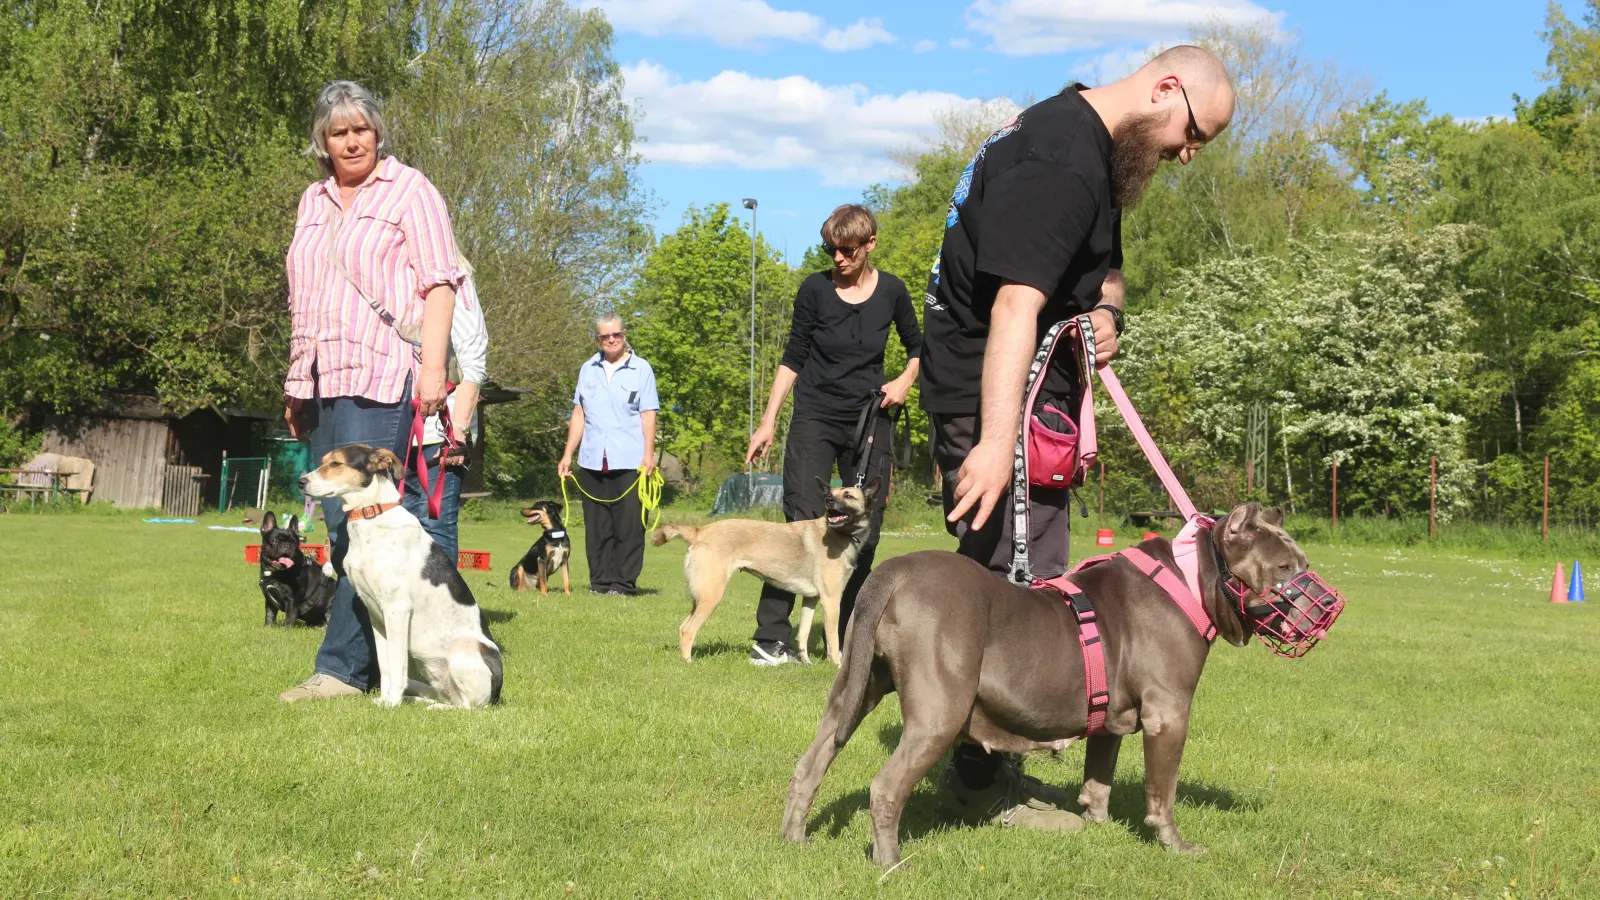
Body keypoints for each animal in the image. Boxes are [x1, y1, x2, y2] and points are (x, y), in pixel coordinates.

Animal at [297, 441, 502, 707]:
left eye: (336, 463)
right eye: (323, 461)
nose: (300, 482)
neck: (371, 515)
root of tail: (497, 692)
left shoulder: (397, 609)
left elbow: (397, 666)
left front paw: (393, 704)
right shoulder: (376, 615)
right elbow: (386, 667)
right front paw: (384, 702)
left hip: (464, 647)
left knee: (470, 707)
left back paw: (432, 708)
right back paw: (421, 701)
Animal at [649, 477, 883, 659]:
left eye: (848, 495)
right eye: (832, 494)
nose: (829, 500)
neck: (839, 534)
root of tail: (700, 531)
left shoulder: (812, 599)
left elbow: (803, 635)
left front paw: (806, 662)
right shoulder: (831, 600)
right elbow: (834, 640)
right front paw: (836, 665)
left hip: (700, 596)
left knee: (682, 627)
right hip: (711, 596)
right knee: (688, 630)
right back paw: (688, 664)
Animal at [784, 499, 1324, 864]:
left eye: (1304, 564)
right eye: (1283, 567)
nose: (1325, 607)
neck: (1192, 580)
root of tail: (891, 573)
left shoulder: (1110, 720)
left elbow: (1099, 779)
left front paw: (1098, 826)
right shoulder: (1169, 716)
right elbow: (1162, 791)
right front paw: (1175, 845)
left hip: (854, 690)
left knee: (811, 762)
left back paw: (794, 838)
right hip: (939, 711)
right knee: (886, 786)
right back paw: (892, 863)